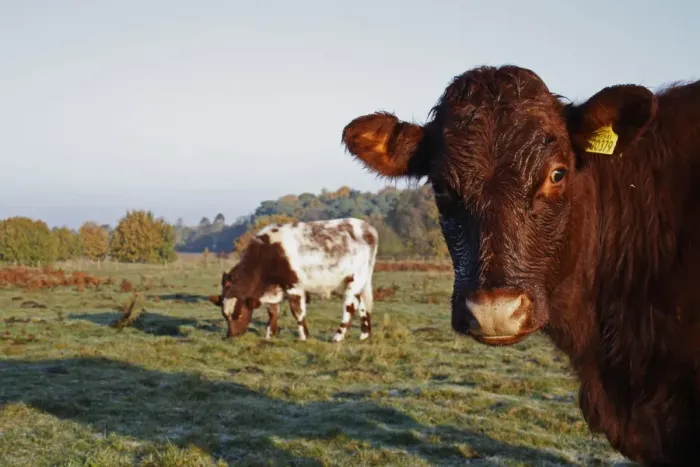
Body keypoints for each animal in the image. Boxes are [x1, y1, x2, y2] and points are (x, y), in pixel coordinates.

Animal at [208, 218, 378, 342]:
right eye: (225, 316)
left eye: (240, 314)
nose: (231, 336)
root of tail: (368, 228)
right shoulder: (275, 288)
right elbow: (272, 311)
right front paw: (270, 335)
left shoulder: (294, 286)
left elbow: (297, 312)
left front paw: (304, 336)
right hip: (361, 282)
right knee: (363, 305)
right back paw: (364, 335)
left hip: (354, 279)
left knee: (350, 306)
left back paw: (337, 337)